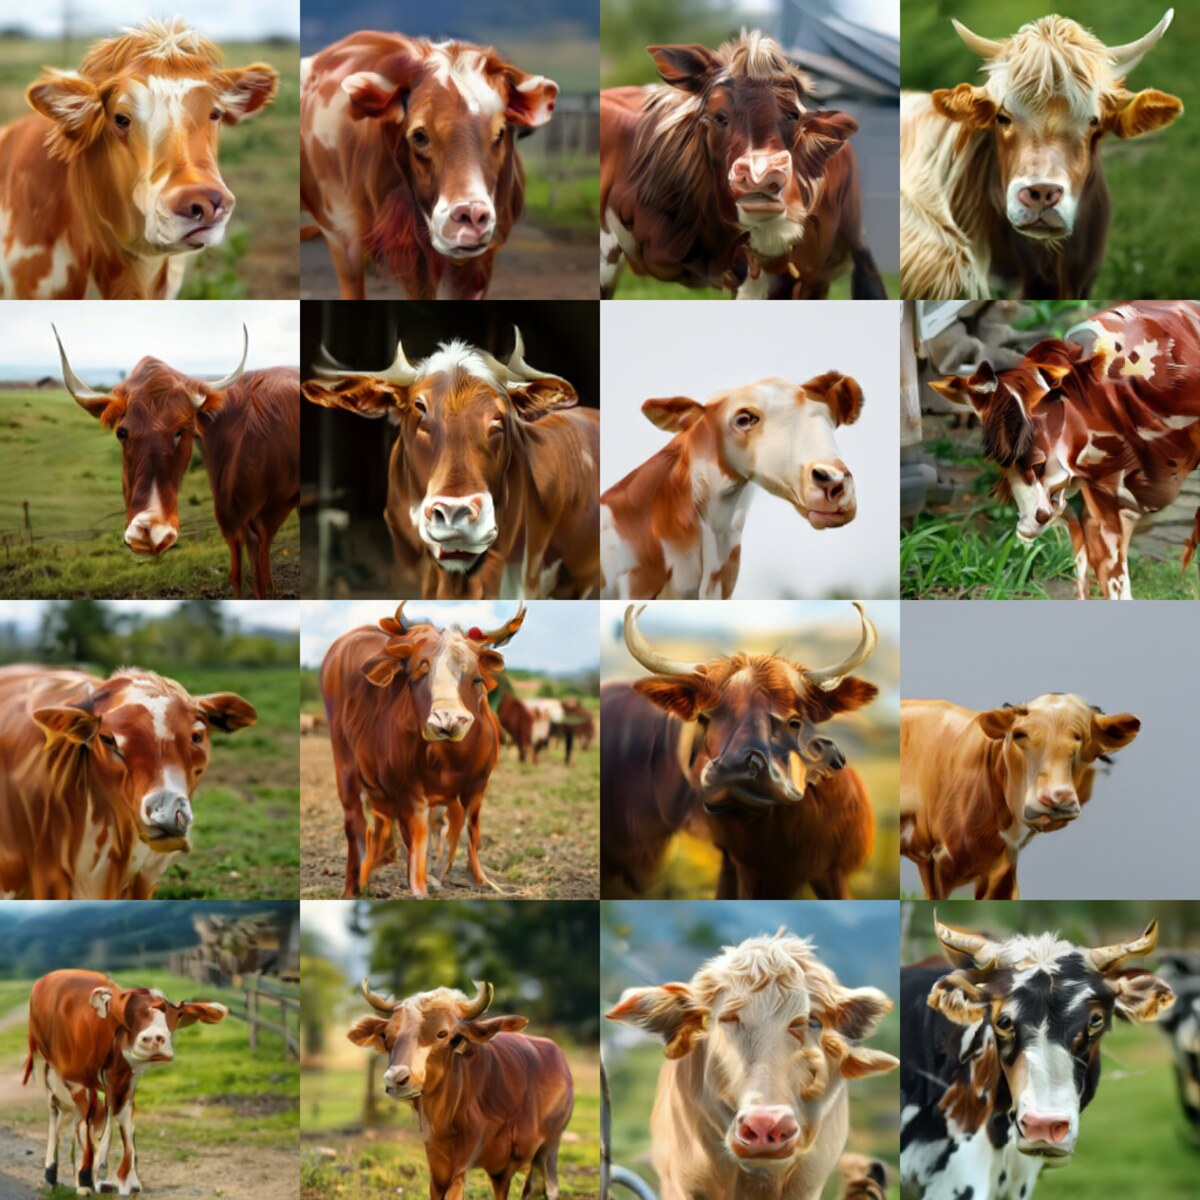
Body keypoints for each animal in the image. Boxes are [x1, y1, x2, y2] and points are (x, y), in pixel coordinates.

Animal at [23, 968, 228, 1194]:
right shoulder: (78, 1080)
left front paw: (122, 1181)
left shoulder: (125, 1081)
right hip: (46, 1067)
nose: (154, 1039)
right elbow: (89, 1122)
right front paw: (87, 1179)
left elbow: (123, 1120)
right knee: (58, 1114)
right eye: (127, 1014)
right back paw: (52, 1176)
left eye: (176, 1015)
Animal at [53, 325, 300, 599]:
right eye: (121, 432)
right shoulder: (238, 519)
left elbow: (256, 573)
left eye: (181, 430)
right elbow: (242, 571)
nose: (149, 531)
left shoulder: (260, 516)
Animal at [321, 602, 525, 898]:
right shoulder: (408, 792)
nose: (447, 720)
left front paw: (479, 879)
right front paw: (420, 887)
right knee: (355, 823)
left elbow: (467, 829)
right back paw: (353, 886)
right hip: (345, 765)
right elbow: (418, 839)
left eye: (476, 678)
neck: (450, 760)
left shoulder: (476, 787)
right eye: (421, 667)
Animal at [349, 979, 574, 1199]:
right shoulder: (437, 1163)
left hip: (550, 1146)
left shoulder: (474, 1165)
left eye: (443, 1034)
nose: (395, 1079)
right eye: (386, 1035)